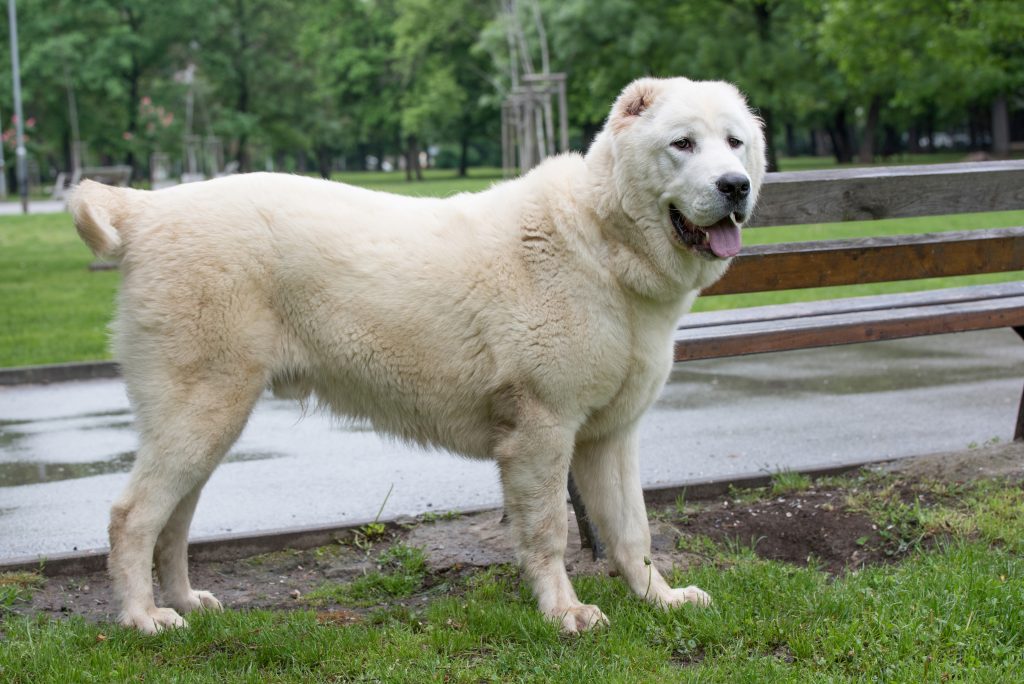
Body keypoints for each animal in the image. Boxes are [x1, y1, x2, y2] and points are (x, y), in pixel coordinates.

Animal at [70, 77, 761, 634]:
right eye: (682, 144)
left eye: (734, 142)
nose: (736, 185)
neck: (601, 239)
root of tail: (148, 205)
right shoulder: (541, 431)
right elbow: (549, 531)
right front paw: (564, 613)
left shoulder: (609, 436)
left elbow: (631, 531)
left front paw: (660, 599)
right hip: (201, 410)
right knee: (133, 516)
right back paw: (143, 619)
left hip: (208, 420)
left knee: (174, 519)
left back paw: (186, 602)